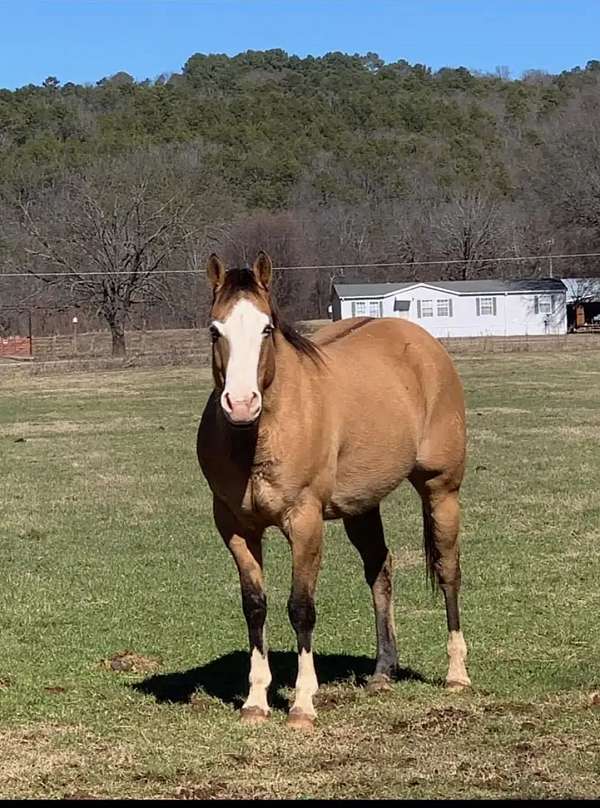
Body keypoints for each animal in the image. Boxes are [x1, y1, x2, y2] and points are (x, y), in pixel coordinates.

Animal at [197, 252, 468, 732]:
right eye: (215, 330)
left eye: (266, 328)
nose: (242, 404)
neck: (259, 437)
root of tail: (423, 344)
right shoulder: (235, 528)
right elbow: (255, 606)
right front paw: (255, 701)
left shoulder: (305, 523)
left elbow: (301, 607)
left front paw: (303, 703)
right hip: (362, 505)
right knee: (380, 570)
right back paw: (382, 672)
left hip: (442, 489)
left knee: (448, 571)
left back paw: (457, 674)